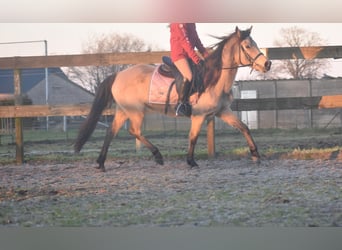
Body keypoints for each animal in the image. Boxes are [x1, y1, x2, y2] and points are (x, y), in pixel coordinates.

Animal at [75, 27, 272, 172]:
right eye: (247, 46)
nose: (267, 64)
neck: (213, 79)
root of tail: (118, 75)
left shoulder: (222, 111)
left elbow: (244, 127)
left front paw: (255, 154)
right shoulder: (199, 116)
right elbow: (193, 137)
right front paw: (191, 161)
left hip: (123, 110)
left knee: (111, 132)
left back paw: (101, 163)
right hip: (135, 111)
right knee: (133, 130)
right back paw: (158, 156)